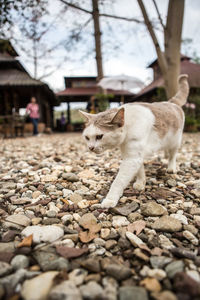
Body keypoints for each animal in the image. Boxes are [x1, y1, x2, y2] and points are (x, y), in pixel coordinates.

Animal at [79, 74, 189, 209]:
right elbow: (140, 170)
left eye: (99, 136)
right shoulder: (134, 155)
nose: (90, 147)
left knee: (173, 155)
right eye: (87, 137)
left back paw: (171, 167)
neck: (129, 125)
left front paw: (110, 200)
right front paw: (141, 183)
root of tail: (170, 102)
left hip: (175, 141)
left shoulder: (132, 158)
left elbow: (118, 181)